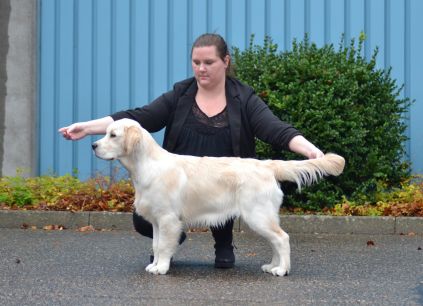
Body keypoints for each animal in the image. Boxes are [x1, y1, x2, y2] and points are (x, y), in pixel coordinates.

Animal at [92, 118, 344, 276]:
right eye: (105, 133)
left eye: (113, 135)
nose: (93, 145)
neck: (146, 165)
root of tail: (267, 165)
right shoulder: (156, 220)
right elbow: (155, 244)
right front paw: (154, 265)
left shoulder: (168, 219)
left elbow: (163, 246)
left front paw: (161, 268)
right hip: (263, 216)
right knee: (276, 240)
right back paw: (272, 266)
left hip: (258, 215)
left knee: (282, 238)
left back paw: (282, 270)